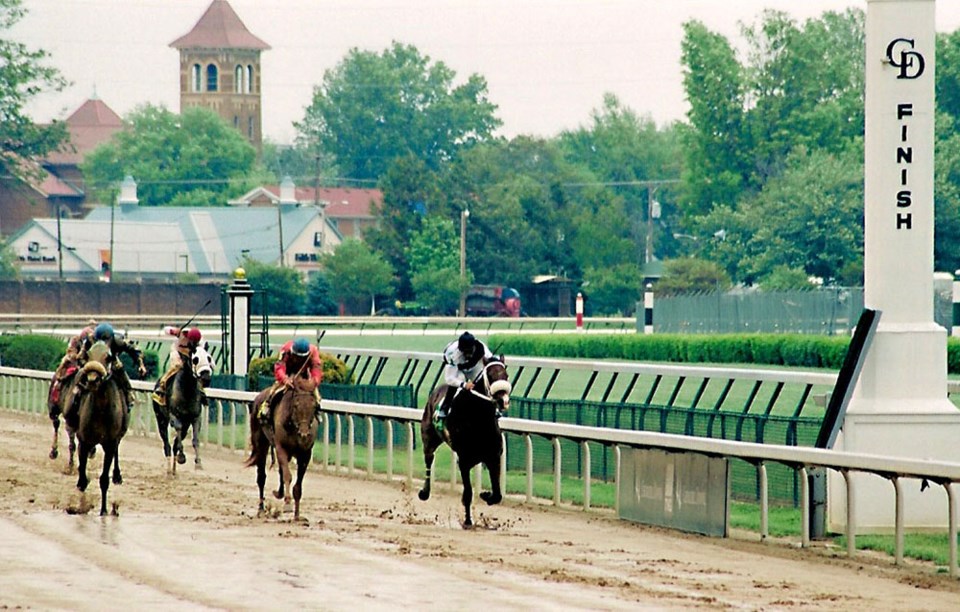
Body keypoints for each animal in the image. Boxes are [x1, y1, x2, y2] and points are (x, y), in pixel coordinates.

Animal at [246, 376, 320, 520]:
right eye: (296, 405)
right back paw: (261, 509)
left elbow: (297, 485)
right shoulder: (281, 448)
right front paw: (287, 504)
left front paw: (297, 515)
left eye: (314, 406)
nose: (304, 434)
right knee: (261, 477)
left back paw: (278, 494)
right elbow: (287, 475)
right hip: (261, 443)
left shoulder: (305, 454)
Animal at [418, 356, 510, 528]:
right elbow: (468, 493)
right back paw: (424, 492)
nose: (503, 401)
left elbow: (497, 494)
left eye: (506, 375)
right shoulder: (464, 461)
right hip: (429, 439)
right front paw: (467, 521)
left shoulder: (493, 457)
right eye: (491, 376)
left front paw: (486, 495)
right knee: (429, 460)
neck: (479, 421)